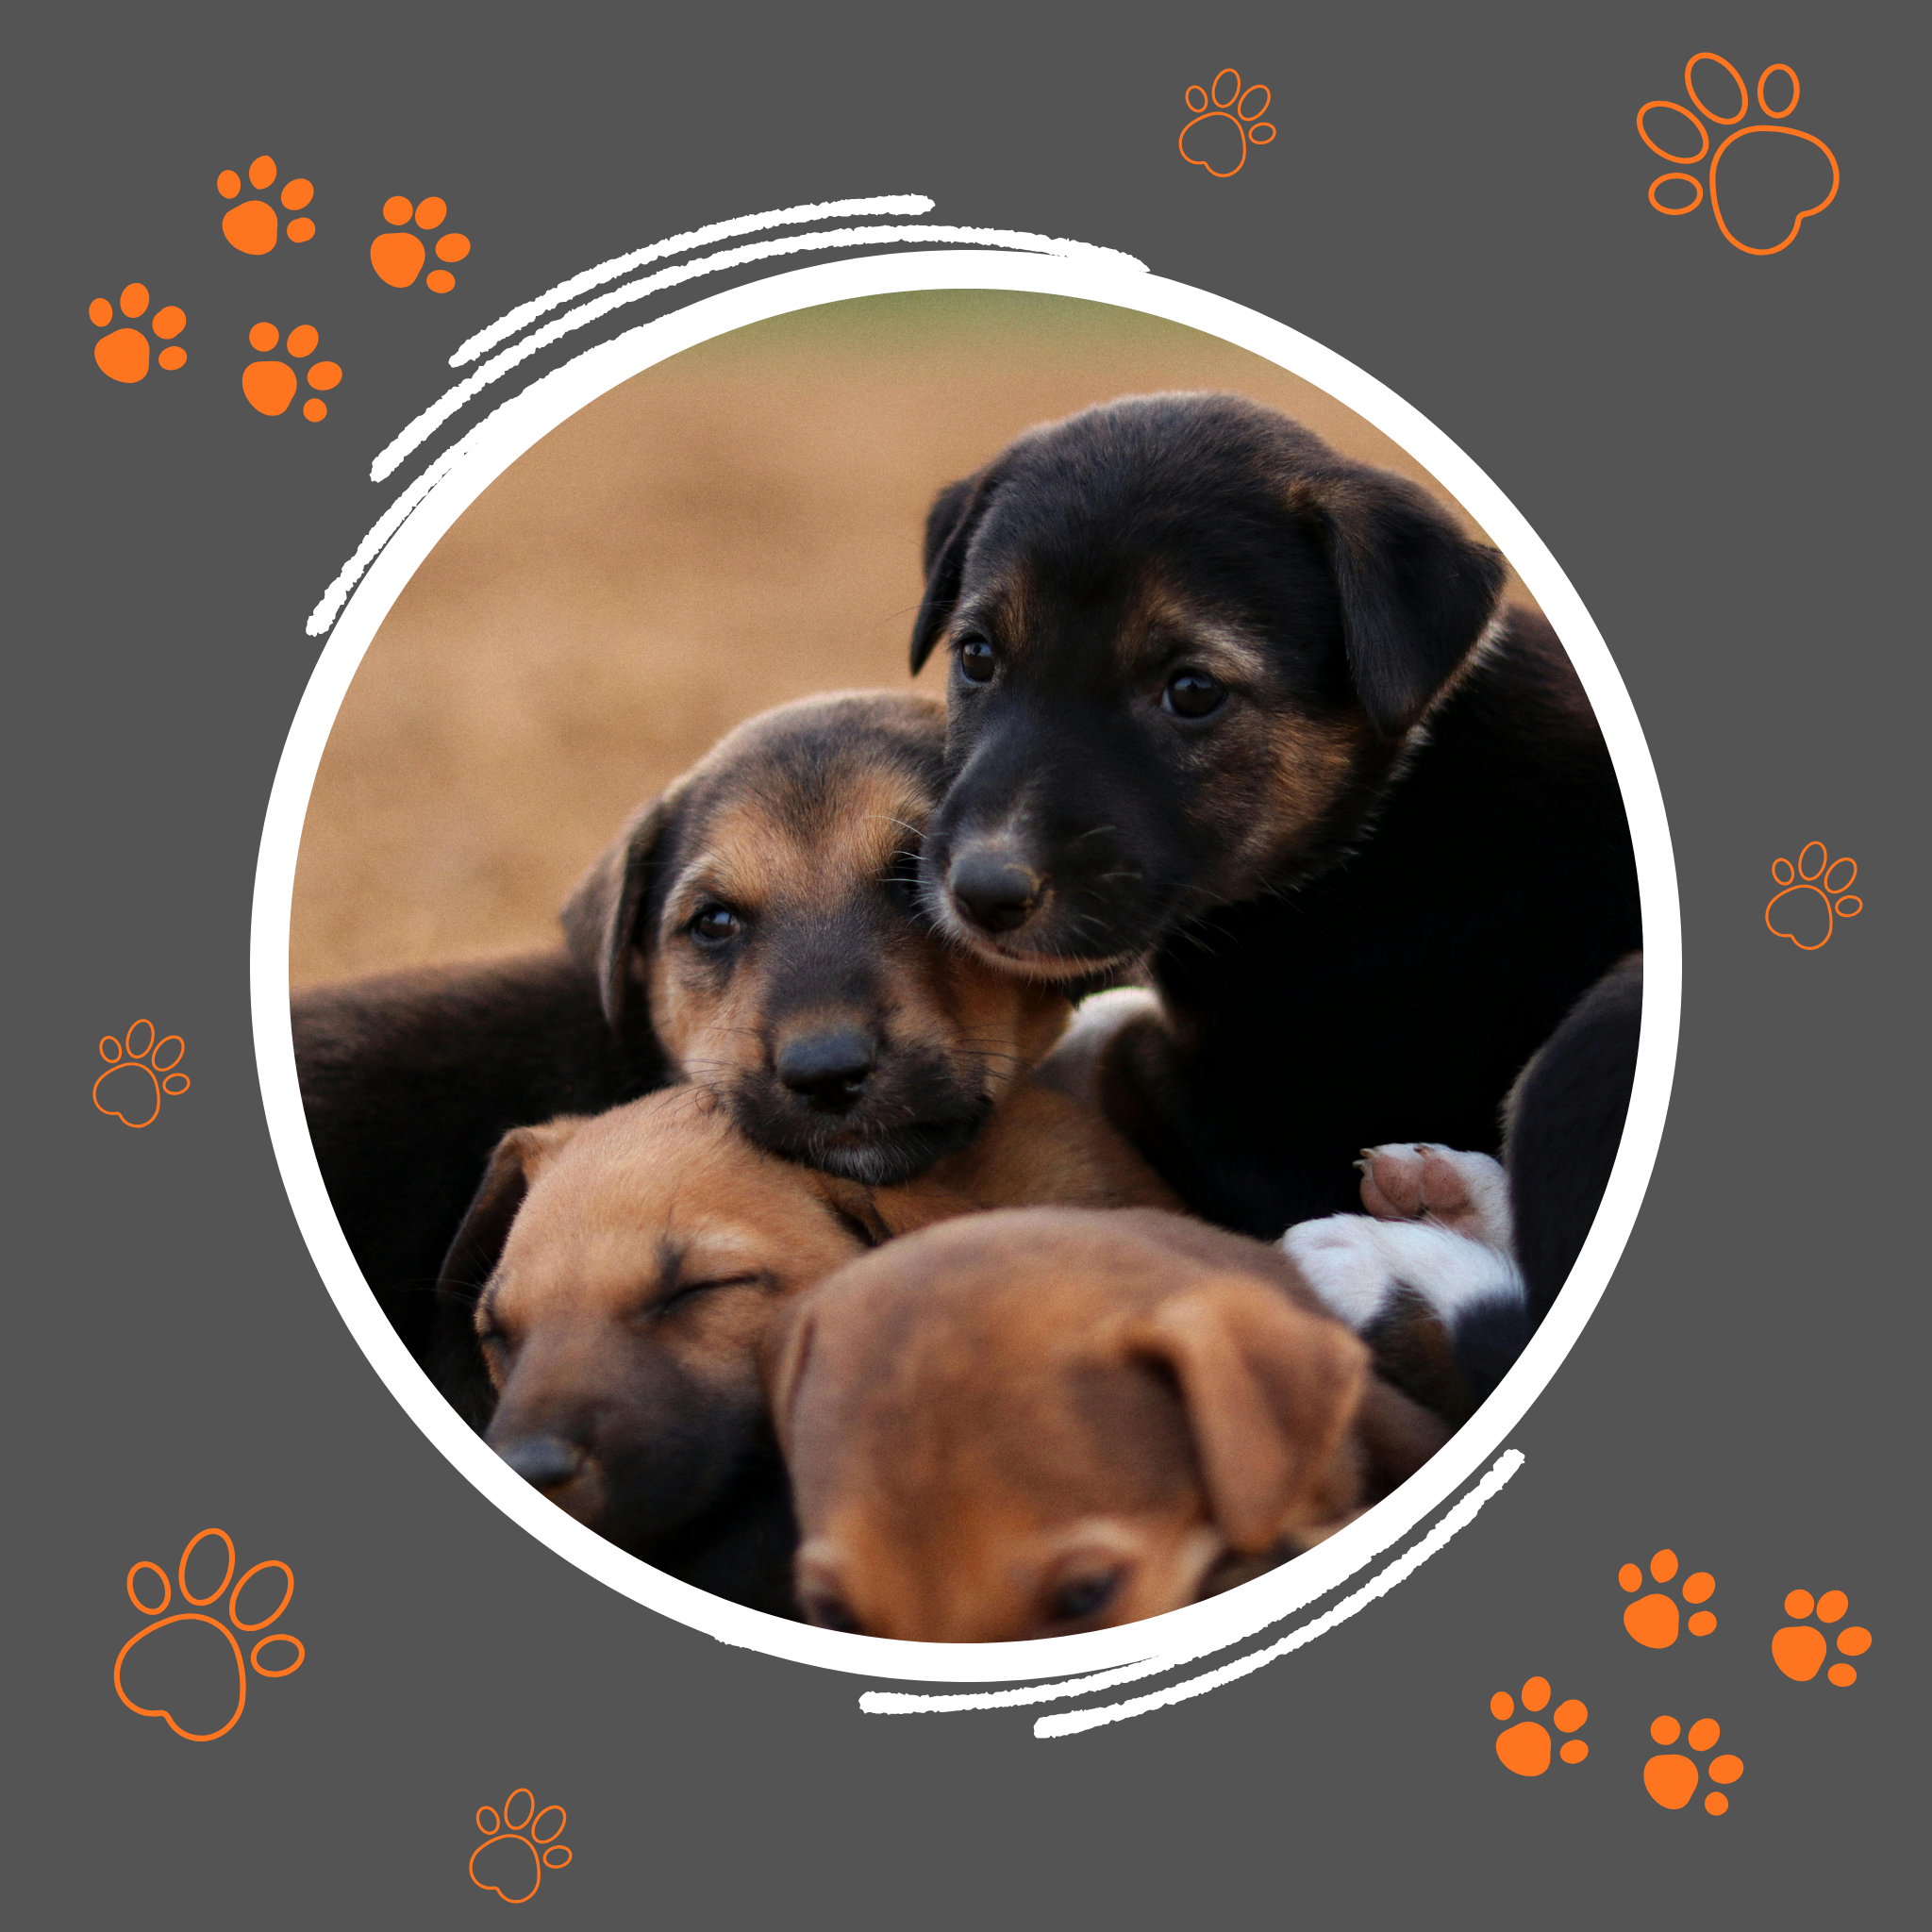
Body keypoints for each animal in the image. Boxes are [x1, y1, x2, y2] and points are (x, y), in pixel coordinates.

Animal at [907, 393, 1642, 1268]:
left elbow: (1108, 1041)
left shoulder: (1275, 1133)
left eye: (1192, 690)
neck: (1382, 808)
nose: (983, 894)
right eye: (977, 656)